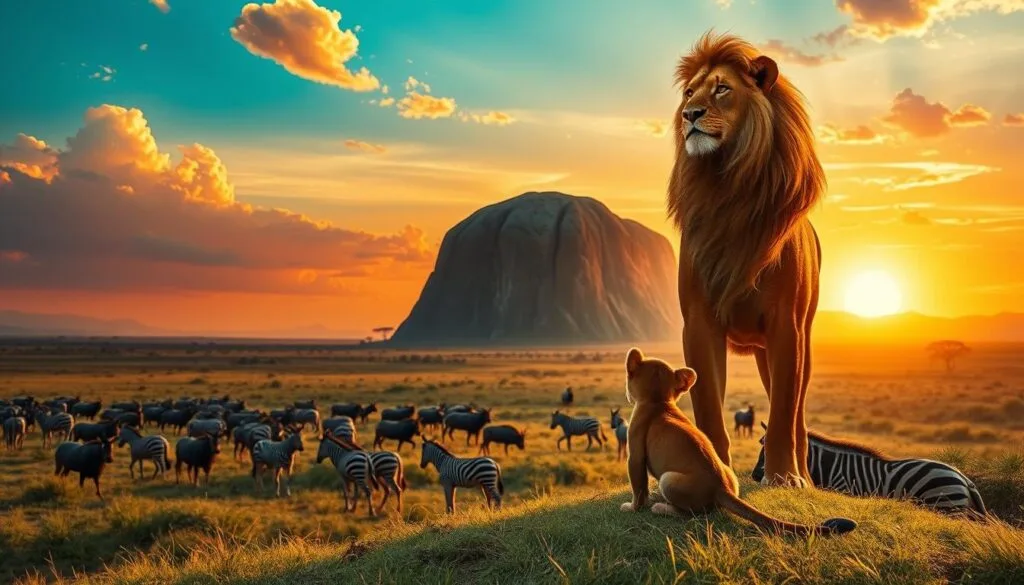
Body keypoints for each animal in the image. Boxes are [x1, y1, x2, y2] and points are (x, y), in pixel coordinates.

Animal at [751, 423, 987, 517]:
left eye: (769, 452)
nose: (754, 476)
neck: (830, 466)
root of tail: (963, 478)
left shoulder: (846, 492)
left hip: (946, 506)